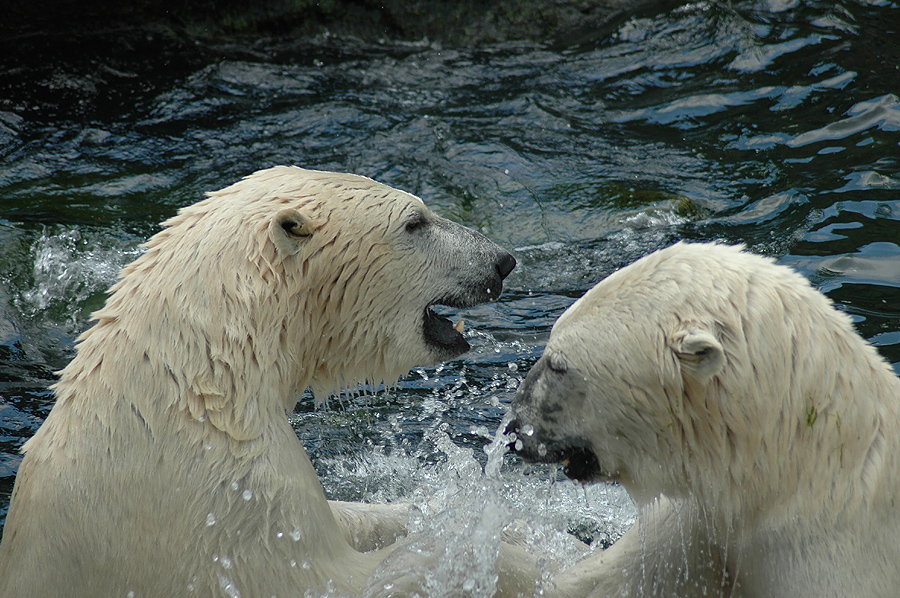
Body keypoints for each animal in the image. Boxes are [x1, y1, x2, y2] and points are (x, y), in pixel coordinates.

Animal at [0, 166, 524, 598]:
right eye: (415, 221)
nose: (502, 261)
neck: (196, 390)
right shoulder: (228, 511)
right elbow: (349, 578)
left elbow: (352, 519)